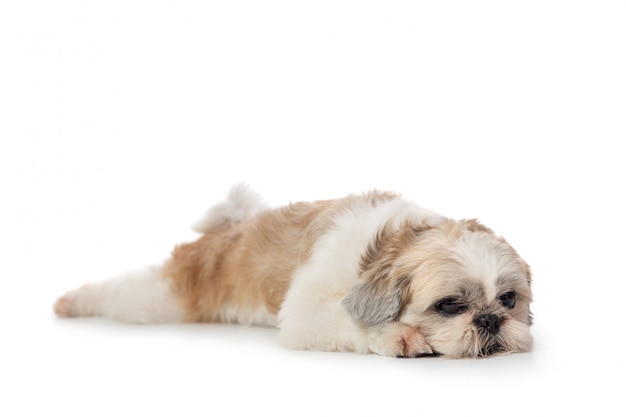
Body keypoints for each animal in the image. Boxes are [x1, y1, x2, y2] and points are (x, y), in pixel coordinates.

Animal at [54, 184, 532, 356]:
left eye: (508, 300)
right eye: (449, 305)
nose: (490, 320)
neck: (380, 249)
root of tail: (228, 231)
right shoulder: (305, 312)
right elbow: (347, 323)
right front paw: (395, 335)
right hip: (164, 298)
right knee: (120, 293)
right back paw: (73, 301)